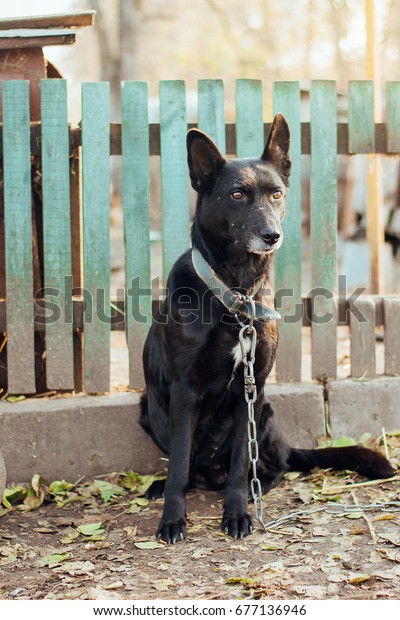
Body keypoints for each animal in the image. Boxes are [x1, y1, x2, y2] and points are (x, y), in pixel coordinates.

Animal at [140, 112, 394, 544]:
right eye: (237, 195)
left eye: (277, 194)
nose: (272, 236)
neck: (236, 294)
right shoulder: (184, 391)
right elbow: (177, 465)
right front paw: (172, 518)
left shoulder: (253, 388)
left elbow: (242, 462)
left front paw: (237, 513)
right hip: (149, 407)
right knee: (189, 466)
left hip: (266, 415)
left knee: (272, 468)